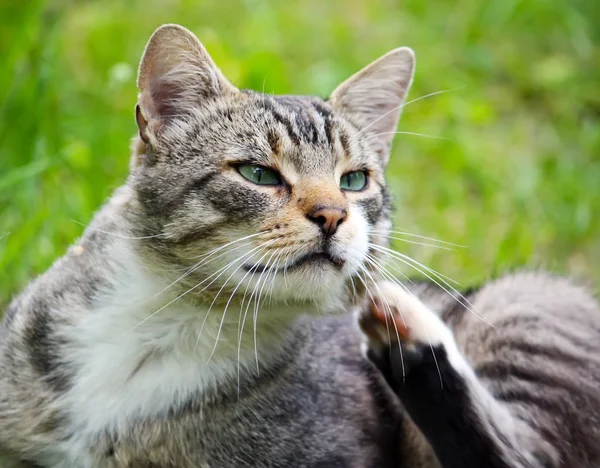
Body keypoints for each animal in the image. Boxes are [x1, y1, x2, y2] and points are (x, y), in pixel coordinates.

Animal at [1, 23, 600, 468]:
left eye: (354, 181)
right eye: (258, 174)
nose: (333, 214)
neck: (172, 321)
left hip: (526, 300)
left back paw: (406, 328)